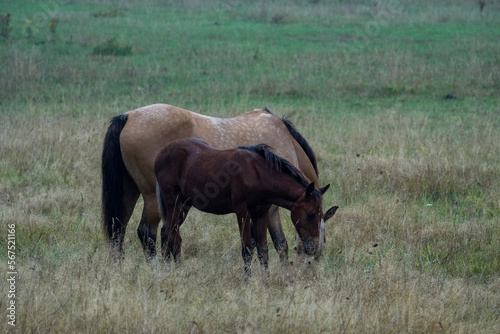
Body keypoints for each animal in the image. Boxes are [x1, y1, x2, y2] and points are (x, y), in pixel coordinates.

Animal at [101, 104, 336, 260]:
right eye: (311, 217)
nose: (314, 254)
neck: (286, 141)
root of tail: (128, 116)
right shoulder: (270, 209)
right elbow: (279, 244)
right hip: (154, 199)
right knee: (147, 233)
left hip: (130, 193)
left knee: (118, 230)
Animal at [156, 138, 336, 274]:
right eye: (309, 215)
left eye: (321, 216)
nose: (313, 249)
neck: (258, 174)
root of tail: (161, 153)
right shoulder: (242, 212)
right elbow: (248, 249)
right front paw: (247, 281)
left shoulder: (261, 213)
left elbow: (263, 250)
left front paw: (266, 280)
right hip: (173, 202)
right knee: (174, 238)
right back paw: (179, 272)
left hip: (184, 206)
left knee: (166, 232)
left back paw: (166, 269)